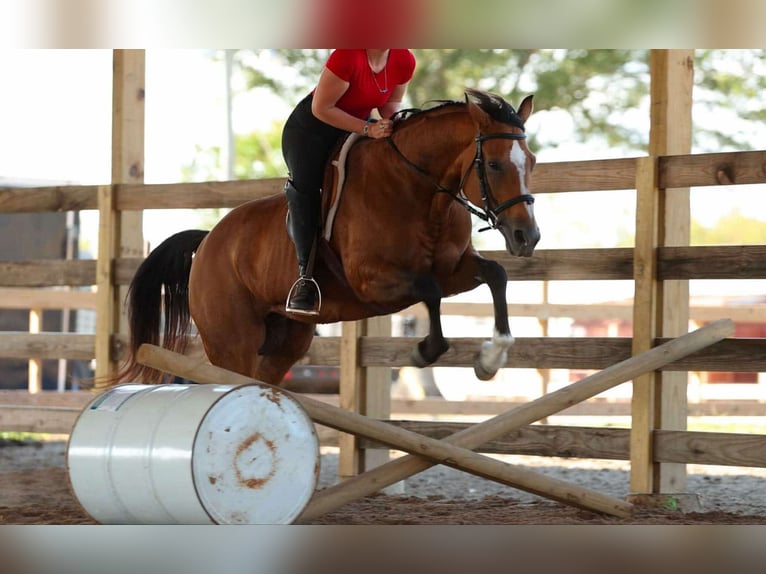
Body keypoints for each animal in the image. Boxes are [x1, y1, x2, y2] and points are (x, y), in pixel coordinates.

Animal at [115, 88, 540, 388]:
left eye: (532, 162)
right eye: (495, 164)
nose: (527, 236)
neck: (421, 191)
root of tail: (207, 242)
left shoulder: (452, 270)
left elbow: (495, 275)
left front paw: (490, 360)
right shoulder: (372, 281)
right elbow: (430, 291)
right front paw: (424, 352)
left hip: (285, 341)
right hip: (231, 342)